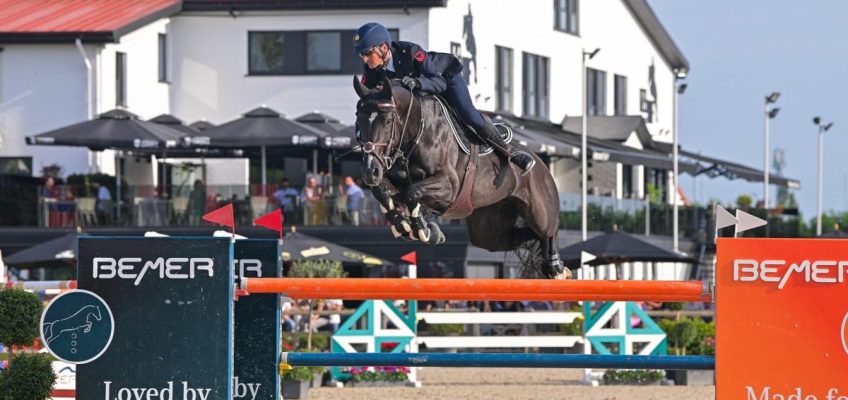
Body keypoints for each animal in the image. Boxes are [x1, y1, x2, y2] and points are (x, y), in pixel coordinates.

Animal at [354, 76, 568, 280]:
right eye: (358, 122)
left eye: (387, 121)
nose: (369, 171)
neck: (416, 131)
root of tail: (541, 163)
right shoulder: (396, 181)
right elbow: (383, 192)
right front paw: (407, 227)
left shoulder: (449, 187)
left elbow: (412, 192)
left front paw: (423, 229)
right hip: (487, 231)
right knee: (525, 236)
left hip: (539, 211)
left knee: (549, 229)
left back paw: (556, 267)